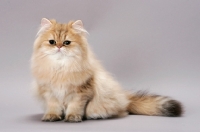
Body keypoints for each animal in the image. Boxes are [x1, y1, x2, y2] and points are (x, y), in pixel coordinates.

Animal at [30, 18, 183, 122]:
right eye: (52, 42)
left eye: (67, 42)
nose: (59, 47)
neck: (60, 68)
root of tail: (125, 98)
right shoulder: (49, 93)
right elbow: (53, 107)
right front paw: (52, 116)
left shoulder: (81, 92)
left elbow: (74, 106)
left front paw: (73, 117)